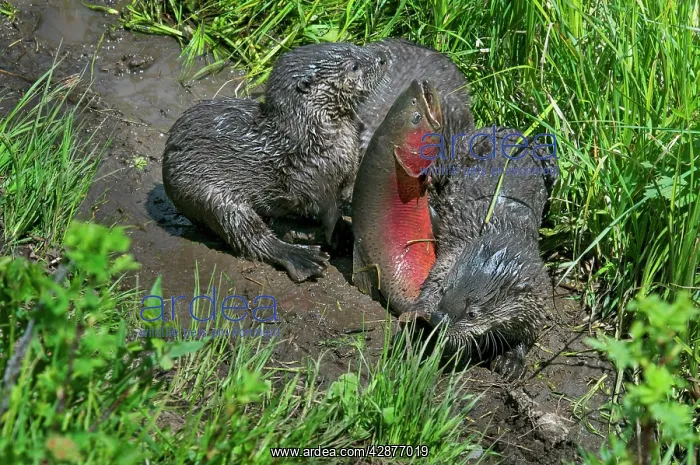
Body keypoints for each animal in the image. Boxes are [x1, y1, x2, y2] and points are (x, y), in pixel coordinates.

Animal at [162, 42, 387, 283]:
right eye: (354, 66)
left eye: (357, 47)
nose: (382, 58)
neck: (315, 141)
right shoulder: (307, 178)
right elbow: (324, 209)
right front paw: (337, 234)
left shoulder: (348, 165)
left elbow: (347, 190)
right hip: (208, 197)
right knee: (252, 237)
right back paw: (304, 258)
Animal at [416, 126, 557, 380]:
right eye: (444, 291)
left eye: (473, 314)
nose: (439, 319)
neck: (502, 230)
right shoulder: (454, 252)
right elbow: (434, 274)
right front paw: (421, 309)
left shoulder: (537, 295)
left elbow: (530, 331)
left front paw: (512, 361)